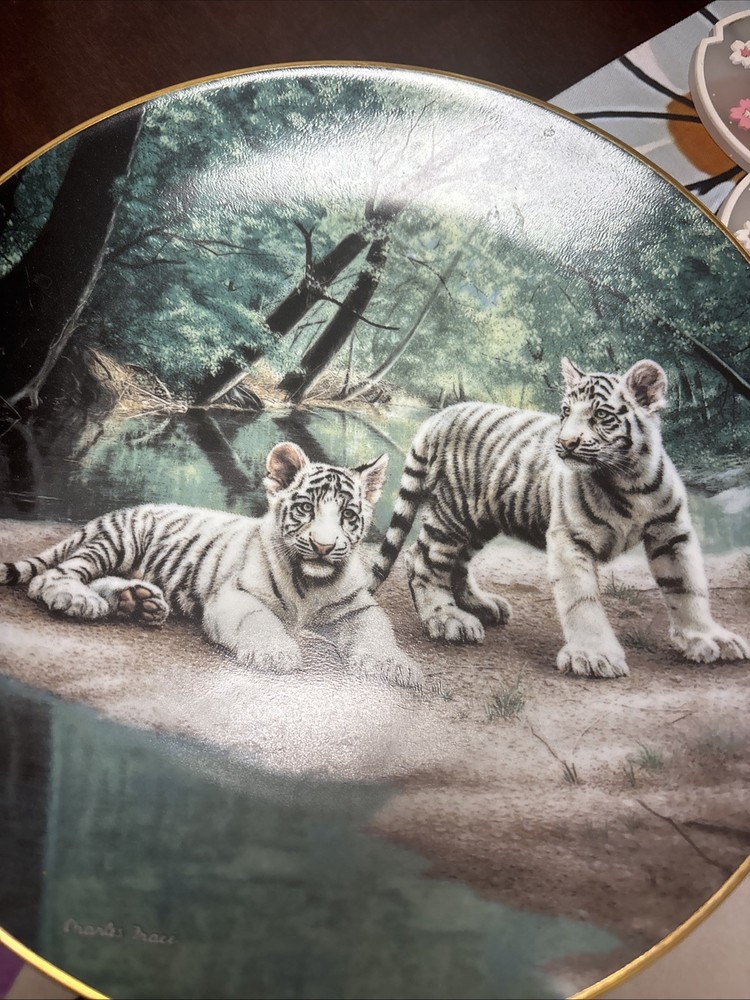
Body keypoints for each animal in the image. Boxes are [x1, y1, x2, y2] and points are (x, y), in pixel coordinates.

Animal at [1, 442, 423, 689]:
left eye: (348, 515)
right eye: (305, 508)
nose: (323, 545)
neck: (312, 583)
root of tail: (111, 513)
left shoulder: (358, 607)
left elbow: (377, 632)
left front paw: (396, 665)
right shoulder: (235, 596)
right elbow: (259, 621)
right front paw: (276, 653)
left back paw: (139, 602)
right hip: (118, 542)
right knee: (53, 575)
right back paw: (78, 599)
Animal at [370, 357, 749, 679]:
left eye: (601, 415)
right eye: (566, 411)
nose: (566, 443)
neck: (629, 480)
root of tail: (440, 416)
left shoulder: (672, 533)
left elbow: (688, 587)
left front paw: (708, 638)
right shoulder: (570, 537)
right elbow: (581, 600)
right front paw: (593, 656)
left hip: (480, 520)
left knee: (456, 563)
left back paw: (481, 606)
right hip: (454, 513)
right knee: (422, 558)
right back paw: (448, 620)